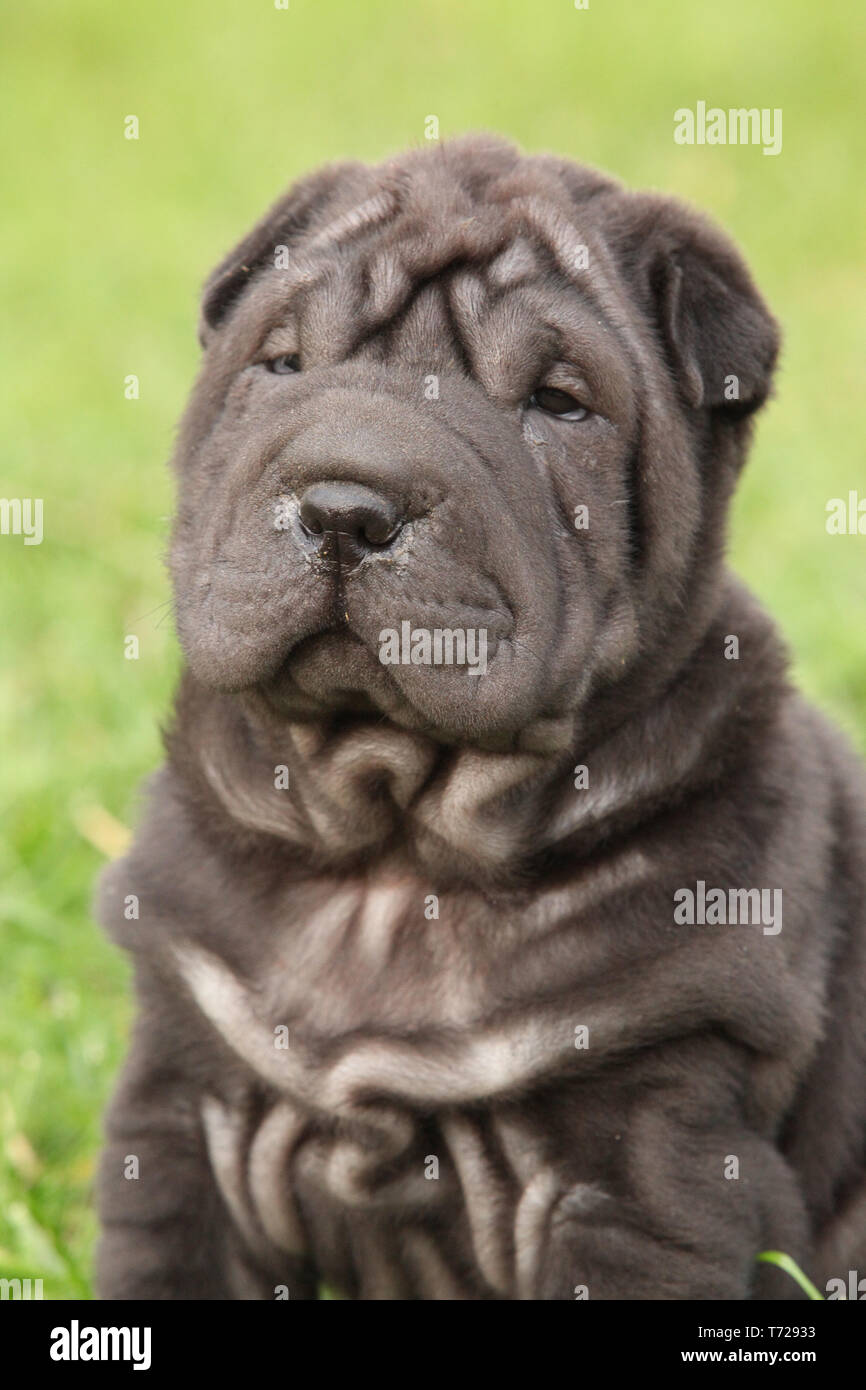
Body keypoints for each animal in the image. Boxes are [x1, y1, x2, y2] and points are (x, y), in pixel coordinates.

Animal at [94, 135, 866, 1295]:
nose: (345, 505)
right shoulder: (184, 1112)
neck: (391, 850)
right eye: (282, 365)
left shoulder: (648, 1164)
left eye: (557, 402)